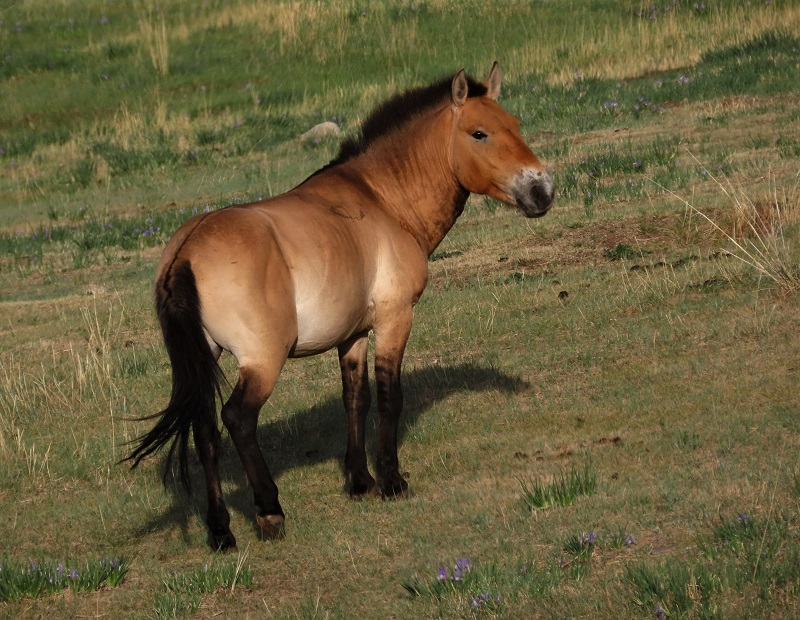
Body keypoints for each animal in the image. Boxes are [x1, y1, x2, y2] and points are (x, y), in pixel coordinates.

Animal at [128, 60, 556, 548]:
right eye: (479, 133)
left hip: (206, 357)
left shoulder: (352, 335)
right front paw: (392, 481)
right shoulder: (394, 320)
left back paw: (220, 530)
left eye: (515, 126)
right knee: (237, 419)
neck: (382, 200)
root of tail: (187, 249)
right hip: (263, 359)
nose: (542, 190)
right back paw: (269, 511)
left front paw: (360, 481)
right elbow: (389, 398)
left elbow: (357, 399)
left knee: (205, 431)